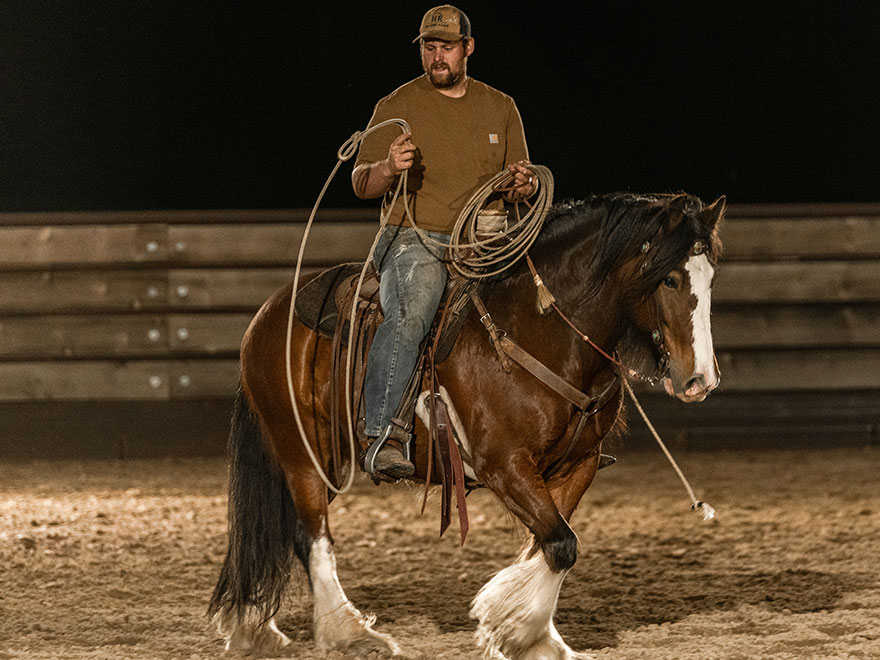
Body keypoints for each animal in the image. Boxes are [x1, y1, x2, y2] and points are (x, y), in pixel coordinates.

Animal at [210, 189, 724, 656]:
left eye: (711, 278)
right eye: (671, 279)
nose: (700, 378)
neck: (540, 329)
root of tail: (267, 315)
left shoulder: (577, 466)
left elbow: (547, 547)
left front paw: (530, 635)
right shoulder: (504, 465)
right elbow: (561, 544)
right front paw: (518, 632)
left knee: (276, 533)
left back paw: (257, 629)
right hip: (302, 453)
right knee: (310, 536)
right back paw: (350, 634)